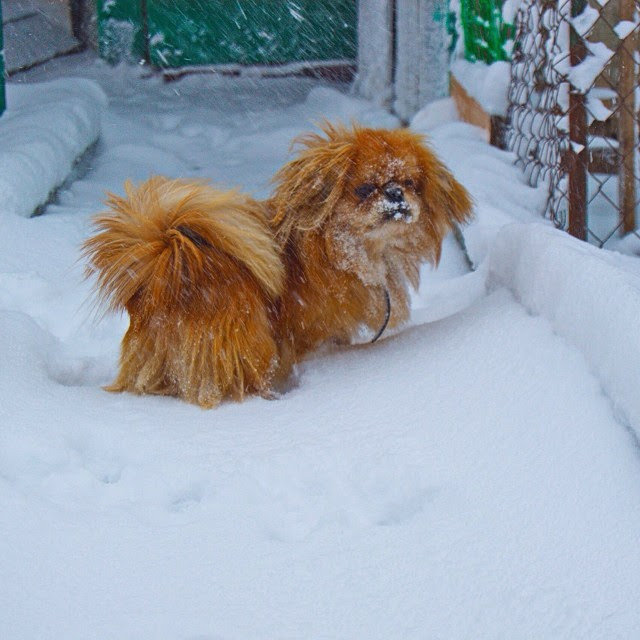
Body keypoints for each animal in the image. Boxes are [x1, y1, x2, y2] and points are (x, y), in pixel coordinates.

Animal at [82, 122, 472, 408]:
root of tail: (169, 267)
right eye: (364, 189)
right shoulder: (312, 330)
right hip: (246, 340)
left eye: (410, 183)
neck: (344, 249)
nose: (395, 194)